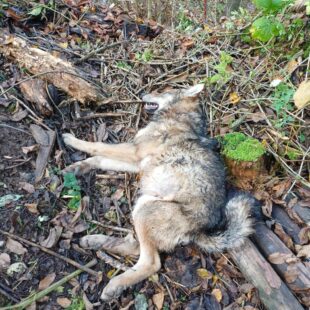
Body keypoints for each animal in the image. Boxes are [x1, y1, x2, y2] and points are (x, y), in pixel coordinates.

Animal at [61, 83, 256, 302]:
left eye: (163, 90)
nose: (142, 94)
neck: (178, 116)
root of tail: (199, 230)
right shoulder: (136, 162)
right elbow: (99, 159)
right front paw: (77, 168)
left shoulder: (133, 152)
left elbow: (97, 146)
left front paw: (71, 140)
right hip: (142, 204)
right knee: (135, 246)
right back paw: (93, 241)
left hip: (145, 208)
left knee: (151, 262)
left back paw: (114, 285)